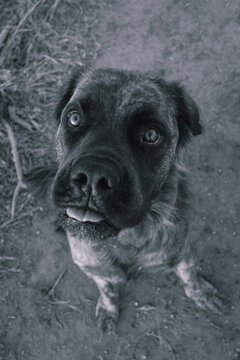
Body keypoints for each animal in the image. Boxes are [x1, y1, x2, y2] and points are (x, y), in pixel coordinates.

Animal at [27, 66, 222, 330]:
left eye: (151, 134)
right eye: (74, 118)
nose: (93, 176)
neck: (125, 240)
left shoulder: (181, 250)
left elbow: (190, 273)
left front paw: (203, 294)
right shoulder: (95, 268)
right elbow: (108, 288)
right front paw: (108, 308)